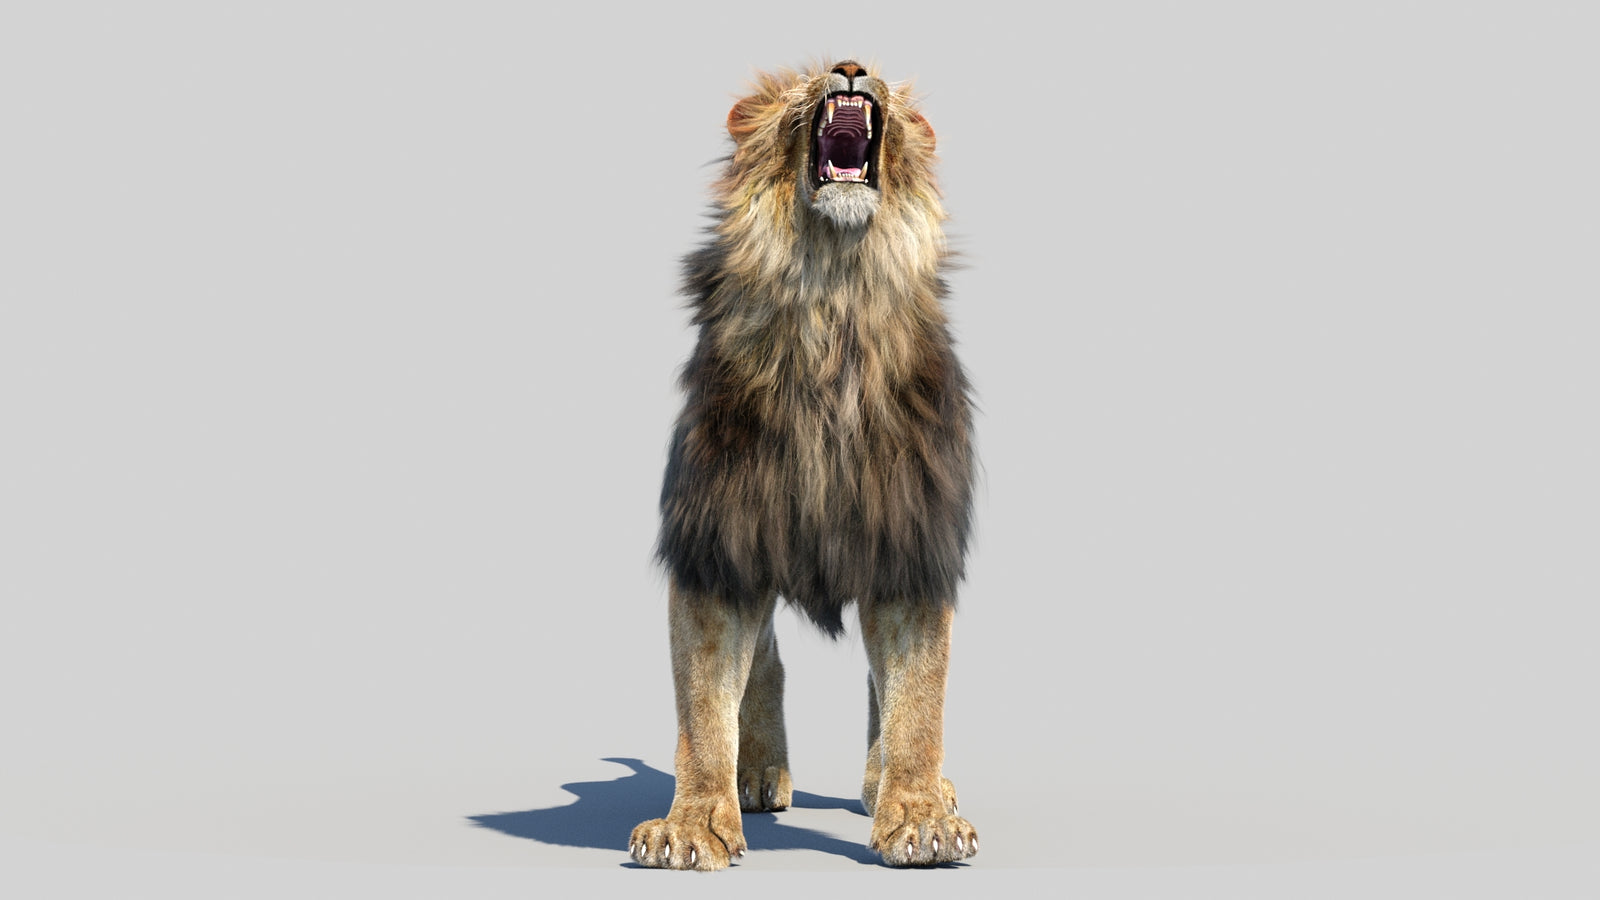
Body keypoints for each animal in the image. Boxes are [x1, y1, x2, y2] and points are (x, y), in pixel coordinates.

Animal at [629, 60, 977, 870]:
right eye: (803, 83)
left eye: (877, 72)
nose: (850, 67)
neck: (832, 302)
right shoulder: (718, 543)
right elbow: (703, 703)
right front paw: (693, 824)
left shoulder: (910, 543)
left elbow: (917, 697)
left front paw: (919, 817)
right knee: (765, 659)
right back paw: (756, 773)